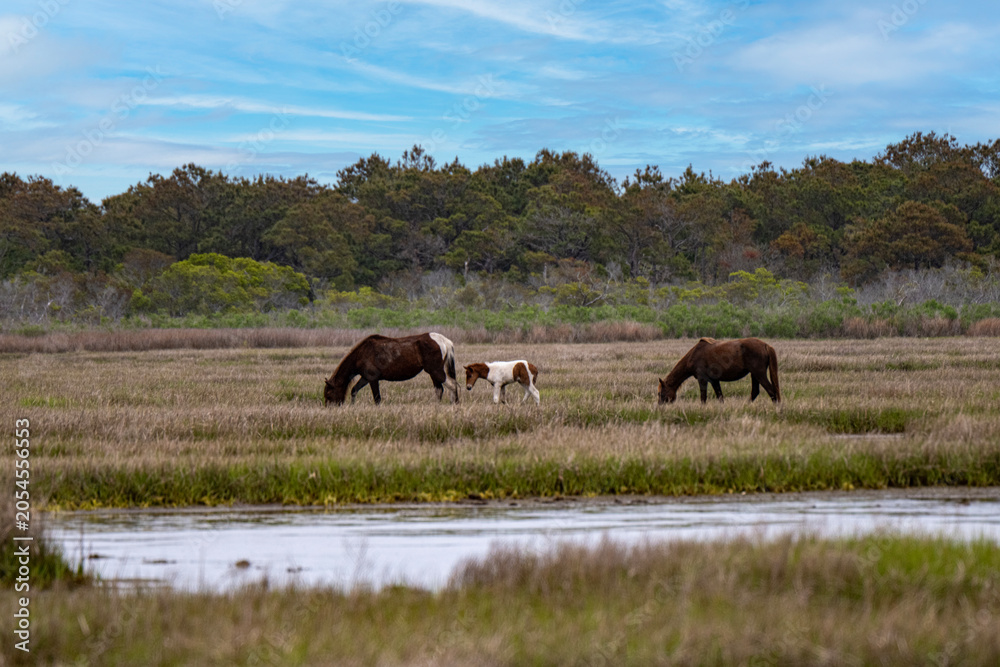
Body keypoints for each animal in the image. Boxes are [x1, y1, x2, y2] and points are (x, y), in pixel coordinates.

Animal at [324, 332, 459, 405]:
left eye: (329, 394)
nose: (330, 409)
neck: (361, 353)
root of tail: (445, 341)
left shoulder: (373, 379)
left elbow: (377, 398)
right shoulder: (365, 378)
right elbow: (354, 390)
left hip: (436, 370)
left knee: (452, 385)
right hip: (432, 372)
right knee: (439, 389)